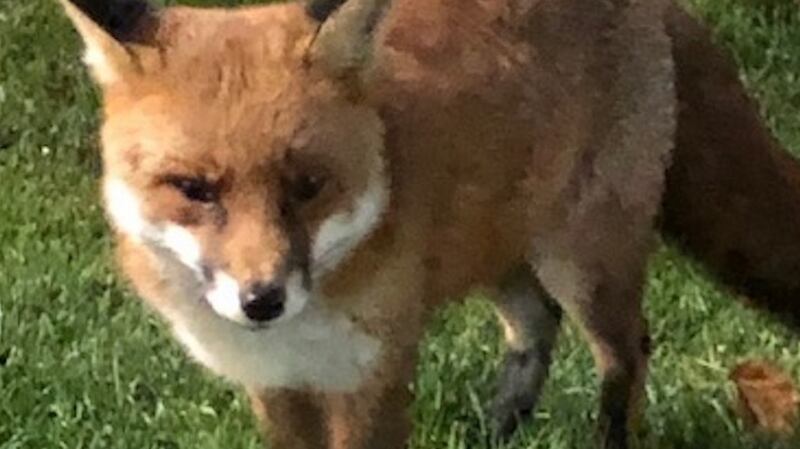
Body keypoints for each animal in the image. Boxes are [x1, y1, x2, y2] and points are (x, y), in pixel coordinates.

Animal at [56, 0, 800, 448]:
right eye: (193, 189)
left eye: (308, 186)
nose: (262, 298)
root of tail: (656, 7)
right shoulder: (277, 384)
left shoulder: (373, 377)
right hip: (498, 248)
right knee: (536, 326)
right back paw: (498, 431)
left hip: (583, 258)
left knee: (627, 352)